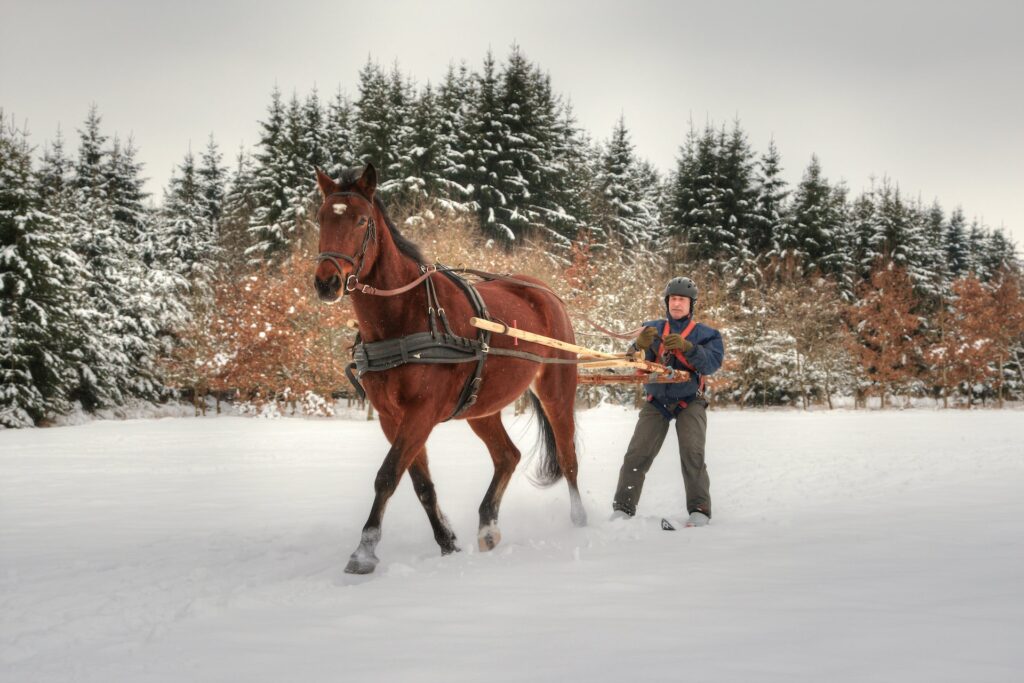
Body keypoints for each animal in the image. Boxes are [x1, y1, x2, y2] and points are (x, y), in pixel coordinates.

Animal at [309, 162, 585, 573]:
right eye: (322, 218)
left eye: (361, 220)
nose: (327, 282)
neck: (404, 316)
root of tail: (546, 293)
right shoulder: (392, 417)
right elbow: (420, 483)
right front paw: (448, 543)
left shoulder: (421, 412)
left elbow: (386, 476)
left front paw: (364, 551)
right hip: (481, 407)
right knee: (508, 456)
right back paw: (488, 527)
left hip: (557, 392)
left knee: (568, 459)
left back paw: (579, 522)